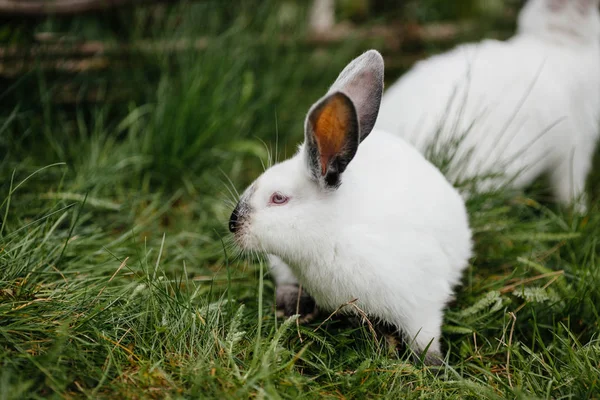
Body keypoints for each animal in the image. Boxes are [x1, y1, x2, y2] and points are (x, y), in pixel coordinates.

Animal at [230, 50, 474, 366]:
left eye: (279, 198)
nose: (233, 223)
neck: (331, 234)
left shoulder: (421, 303)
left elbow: (425, 338)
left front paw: (433, 366)